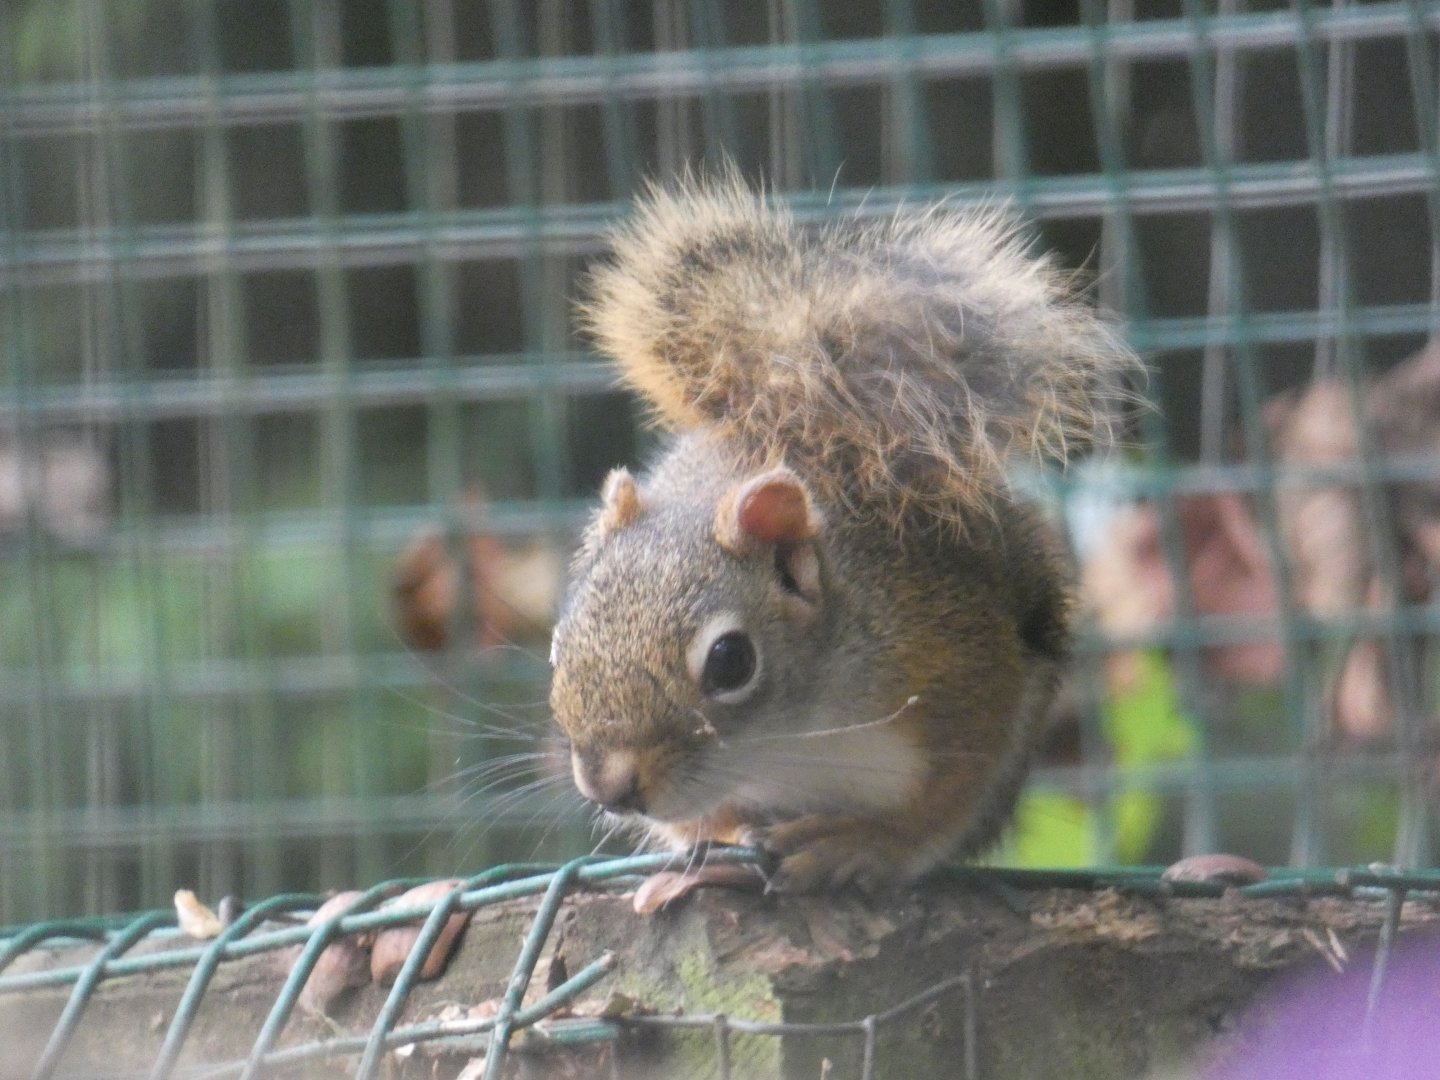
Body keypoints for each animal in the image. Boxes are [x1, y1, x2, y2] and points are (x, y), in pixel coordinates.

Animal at [548, 171, 1138, 894]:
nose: (611, 788)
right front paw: (715, 851)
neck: (787, 745)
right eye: (559, 644)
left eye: (730, 661)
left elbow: (938, 806)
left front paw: (859, 843)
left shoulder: (960, 665)